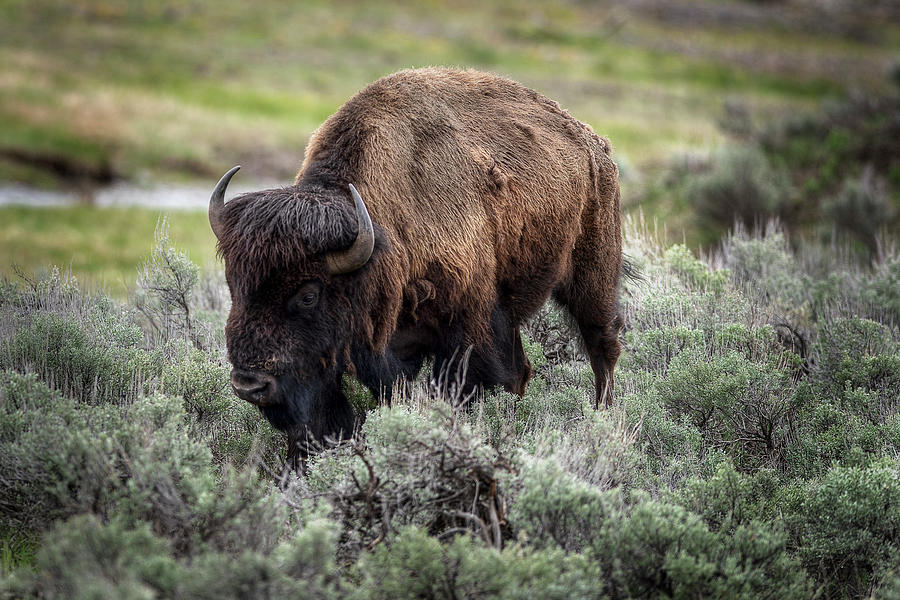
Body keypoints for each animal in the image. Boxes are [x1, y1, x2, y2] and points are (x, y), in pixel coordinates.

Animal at [207, 68, 624, 462]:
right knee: (527, 369)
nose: (249, 383)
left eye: (309, 295)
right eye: (233, 284)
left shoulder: (467, 329)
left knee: (601, 347)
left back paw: (603, 421)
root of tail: (595, 145)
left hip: (593, 278)